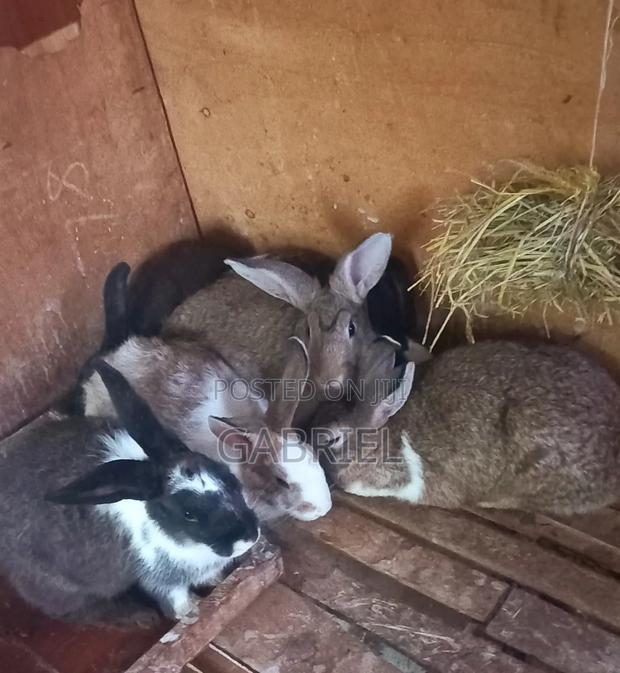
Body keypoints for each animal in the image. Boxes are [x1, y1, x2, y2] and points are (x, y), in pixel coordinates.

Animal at [0, 360, 259, 622]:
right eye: (189, 515)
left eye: (227, 476)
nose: (249, 537)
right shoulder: (160, 580)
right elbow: (176, 602)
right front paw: (190, 613)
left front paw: (216, 582)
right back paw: (140, 617)